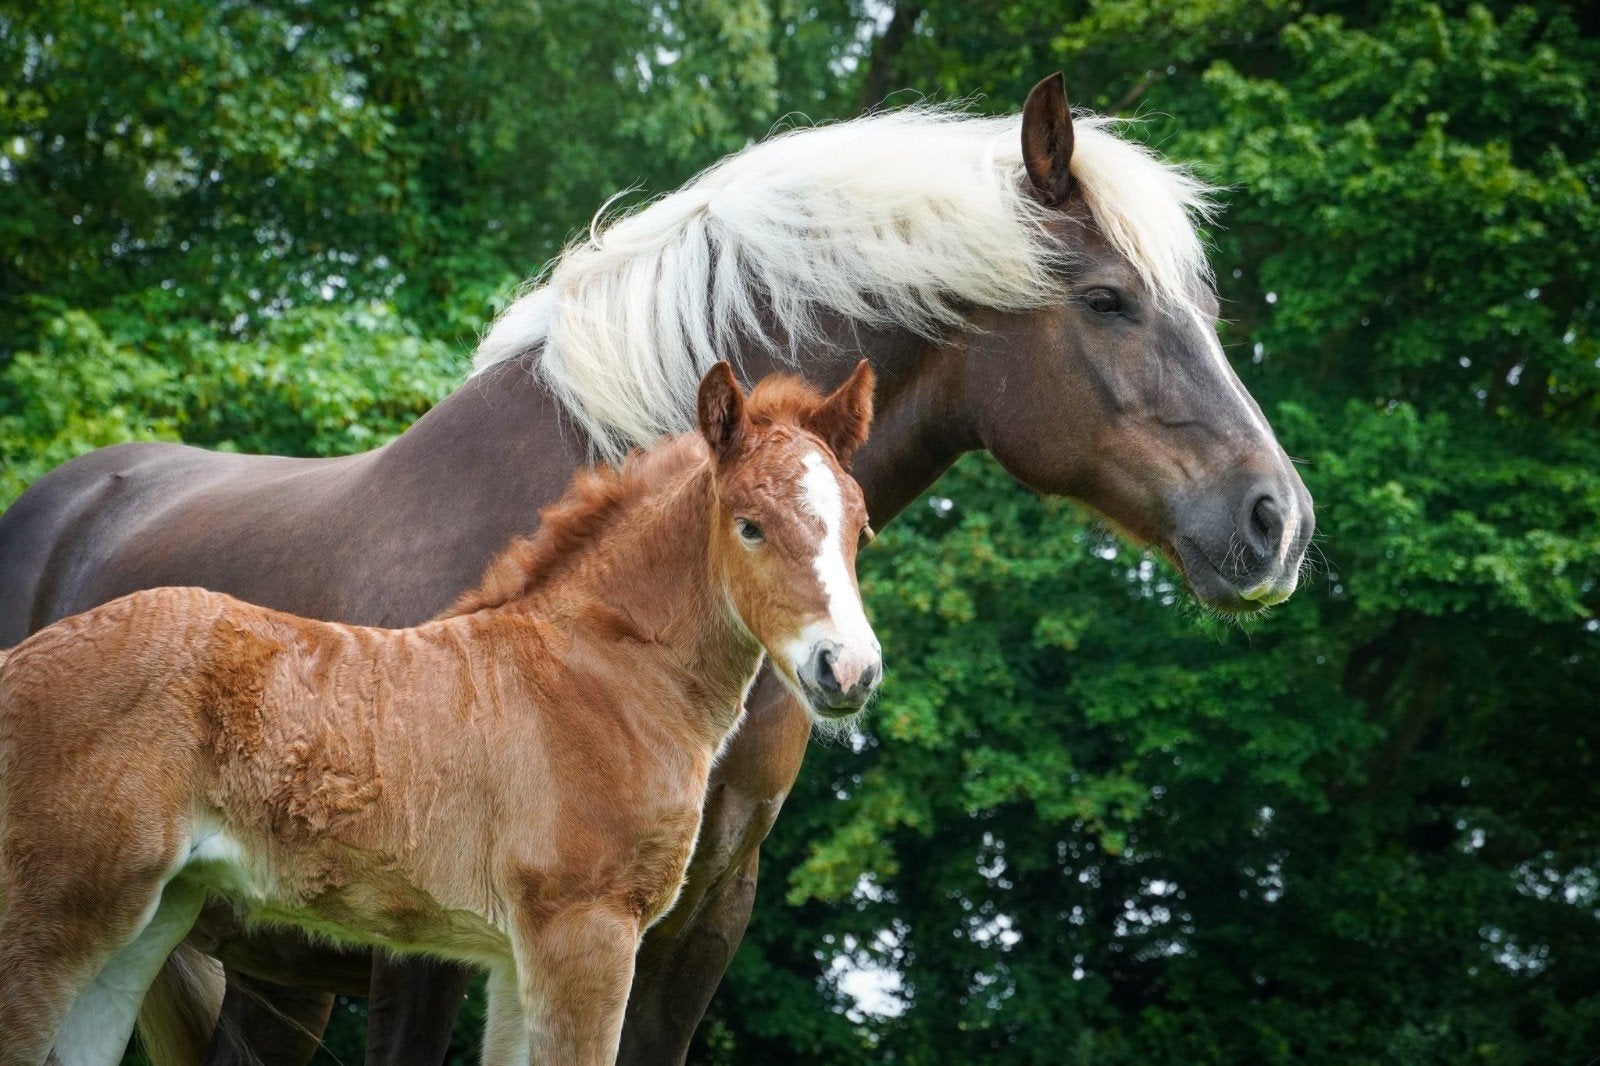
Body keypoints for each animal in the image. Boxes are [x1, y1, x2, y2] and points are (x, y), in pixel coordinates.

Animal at [0, 362, 880, 1066]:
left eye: (859, 529)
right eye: (750, 526)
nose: (849, 670)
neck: (602, 672)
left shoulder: (521, 956)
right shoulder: (588, 930)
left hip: (147, 922)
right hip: (51, 913)